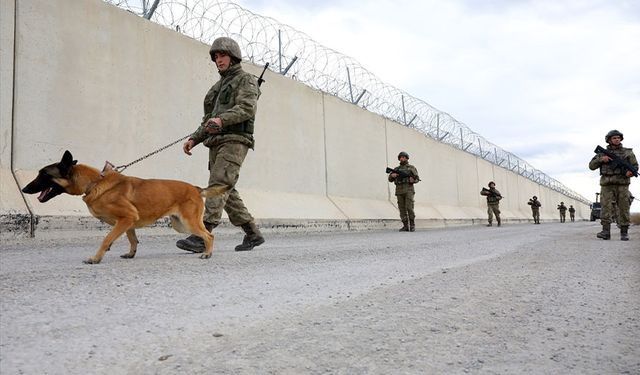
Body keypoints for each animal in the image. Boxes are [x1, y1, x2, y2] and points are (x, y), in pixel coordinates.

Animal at [21, 151, 228, 264]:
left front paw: (96, 258)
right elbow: (132, 239)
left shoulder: (126, 218)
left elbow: (106, 239)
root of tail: (196, 188)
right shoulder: (128, 222)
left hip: (187, 222)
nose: (23, 189)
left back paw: (207, 253)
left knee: (208, 235)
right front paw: (130, 254)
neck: (94, 183)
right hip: (180, 225)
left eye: (43, 174)